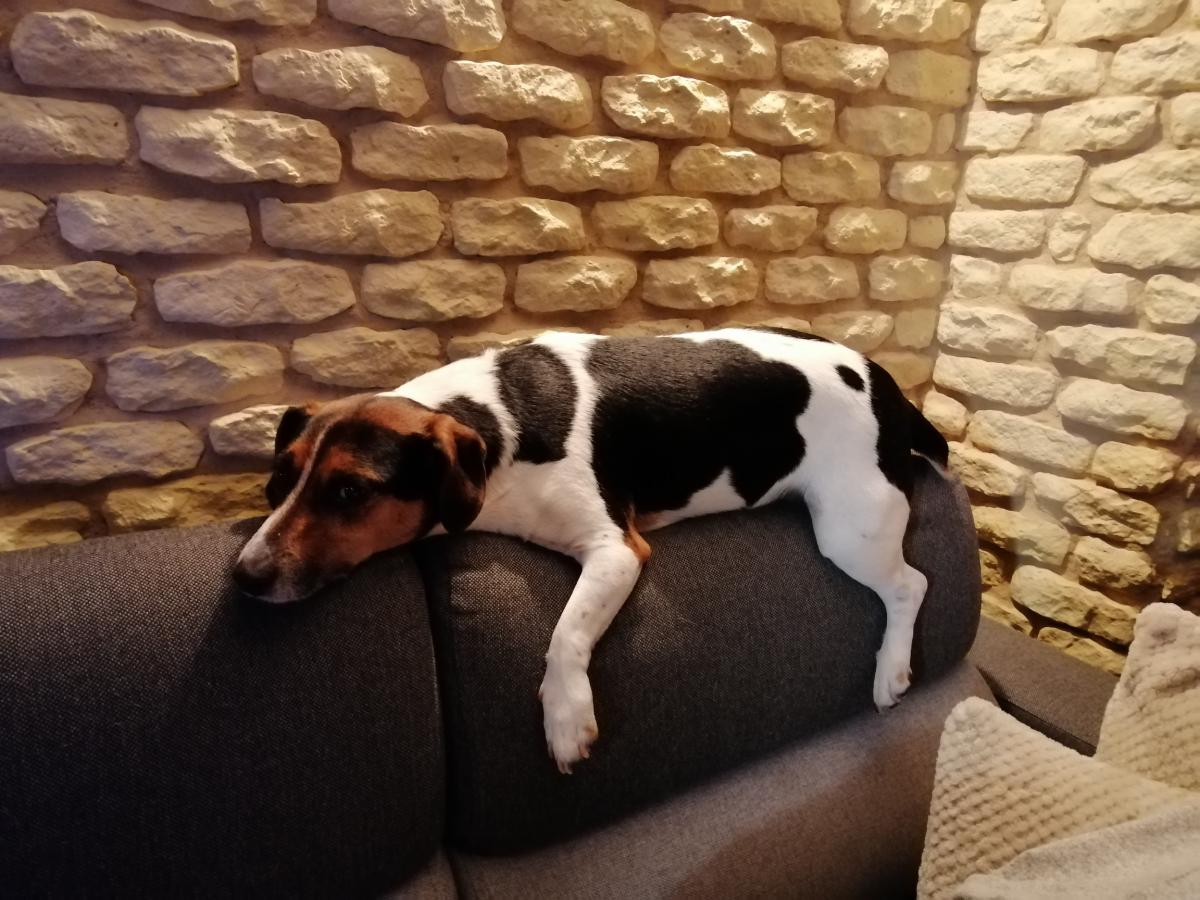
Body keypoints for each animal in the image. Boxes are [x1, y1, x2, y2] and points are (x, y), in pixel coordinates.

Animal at [234, 326, 949, 772]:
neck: (498, 422)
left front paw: (565, 715)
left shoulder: (615, 548)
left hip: (852, 526)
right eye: (279, 479)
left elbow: (565, 633)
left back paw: (891, 669)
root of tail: (887, 385)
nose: (244, 575)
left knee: (911, 585)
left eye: (349, 491)